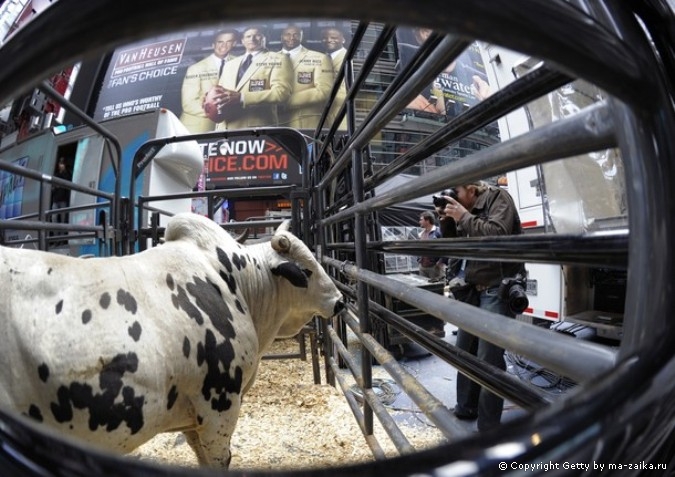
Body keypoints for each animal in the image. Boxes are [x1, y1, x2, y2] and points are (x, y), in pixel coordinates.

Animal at [0, 213, 346, 468]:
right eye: (307, 270)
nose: (341, 302)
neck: (237, 283)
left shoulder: (193, 417)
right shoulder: (219, 404)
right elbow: (219, 460)